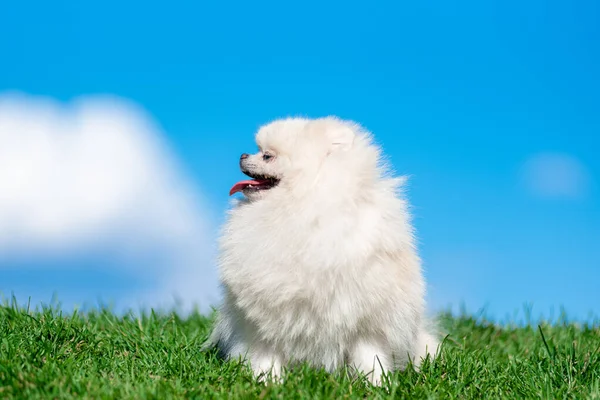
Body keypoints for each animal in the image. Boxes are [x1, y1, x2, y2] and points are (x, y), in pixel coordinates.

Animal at [204, 118, 438, 384]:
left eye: (267, 156)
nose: (243, 155)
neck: (301, 209)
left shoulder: (365, 317)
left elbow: (369, 354)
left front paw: (376, 384)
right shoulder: (266, 312)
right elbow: (267, 352)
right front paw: (268, 381)